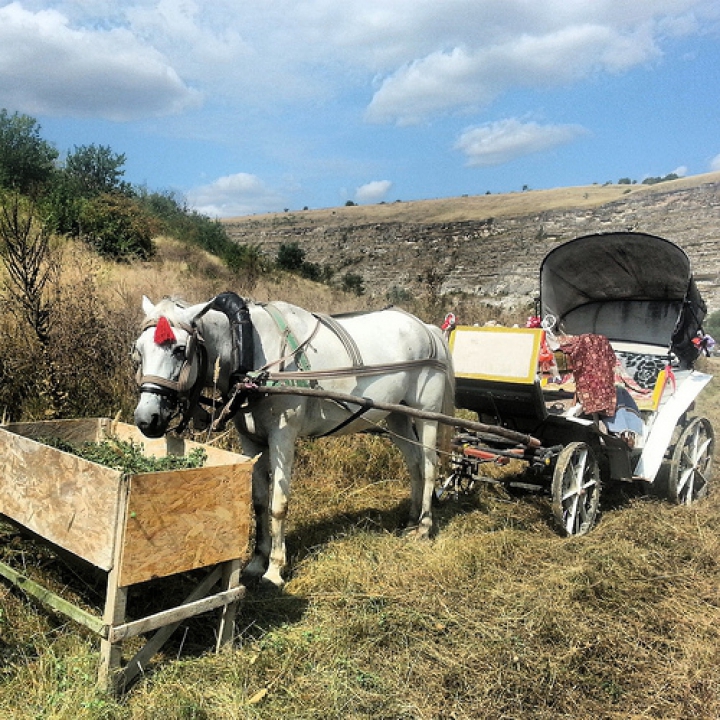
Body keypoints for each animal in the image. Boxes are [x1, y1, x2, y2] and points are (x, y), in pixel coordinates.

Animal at [132, 296, 452, 588]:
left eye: (180, 350)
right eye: (138, 350)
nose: (147, 420)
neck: (251, 353)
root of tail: (426, 328)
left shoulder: (283, 438)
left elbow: (278, 504)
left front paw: (274, 569)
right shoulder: (250, 440)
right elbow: (259, 502)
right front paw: (256, 562)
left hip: (426, 415)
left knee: (429, 466)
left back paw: (424, 528)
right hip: (397, 416)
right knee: (414, 464)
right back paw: (410, 522)